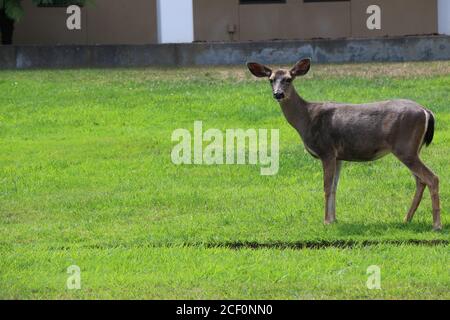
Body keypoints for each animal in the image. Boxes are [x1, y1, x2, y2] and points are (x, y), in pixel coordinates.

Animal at [246, 58, 440, 230]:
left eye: (288, 78)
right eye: (271, 79)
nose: (278, 94)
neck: (306, 118)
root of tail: (426, 111)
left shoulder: (327, 151)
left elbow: (326, 187)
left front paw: (326, 221)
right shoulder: (339, 156)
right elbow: (334, 188)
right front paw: (334, 219)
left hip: (405, 147)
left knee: (432, 178)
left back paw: (436, 225)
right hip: (411, 149)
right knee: (421, 180)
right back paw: (406, 219)